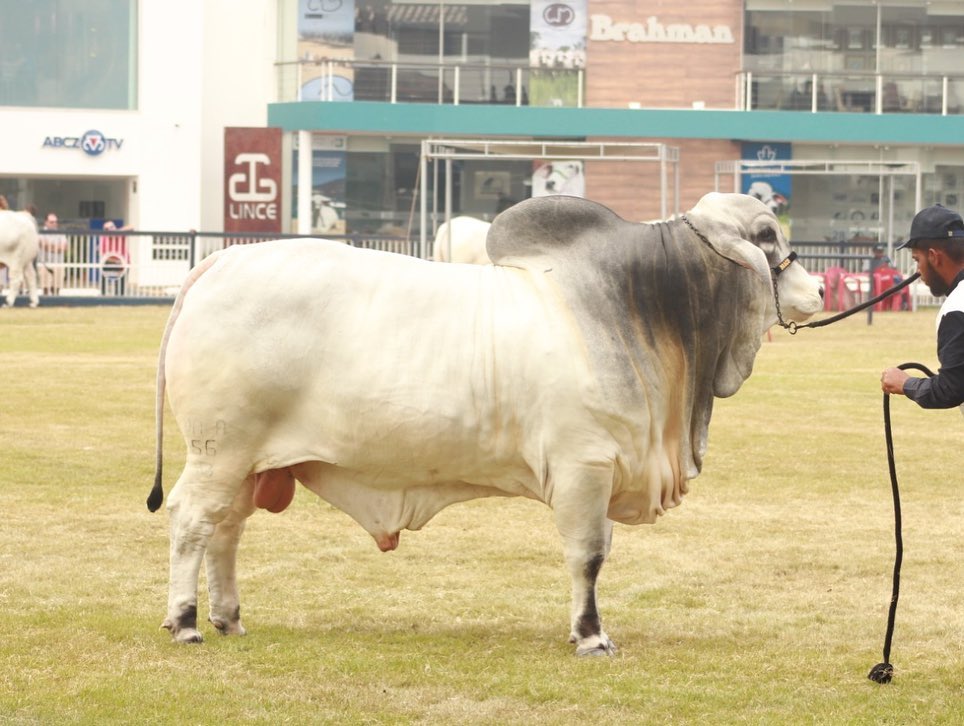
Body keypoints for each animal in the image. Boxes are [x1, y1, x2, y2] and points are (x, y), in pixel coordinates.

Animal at [149, 192, 820, 656]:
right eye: (765, 234)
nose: (817, 289)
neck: (633, 306)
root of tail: (220, 260)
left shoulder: (603, 467)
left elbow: (597, 553)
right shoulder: (584, 466)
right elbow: (587, 556)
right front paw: (590, 636)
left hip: (246, 463)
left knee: (227, 532)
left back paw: (229, 618)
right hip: (217, 451)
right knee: (191, 522)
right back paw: (185, 622)